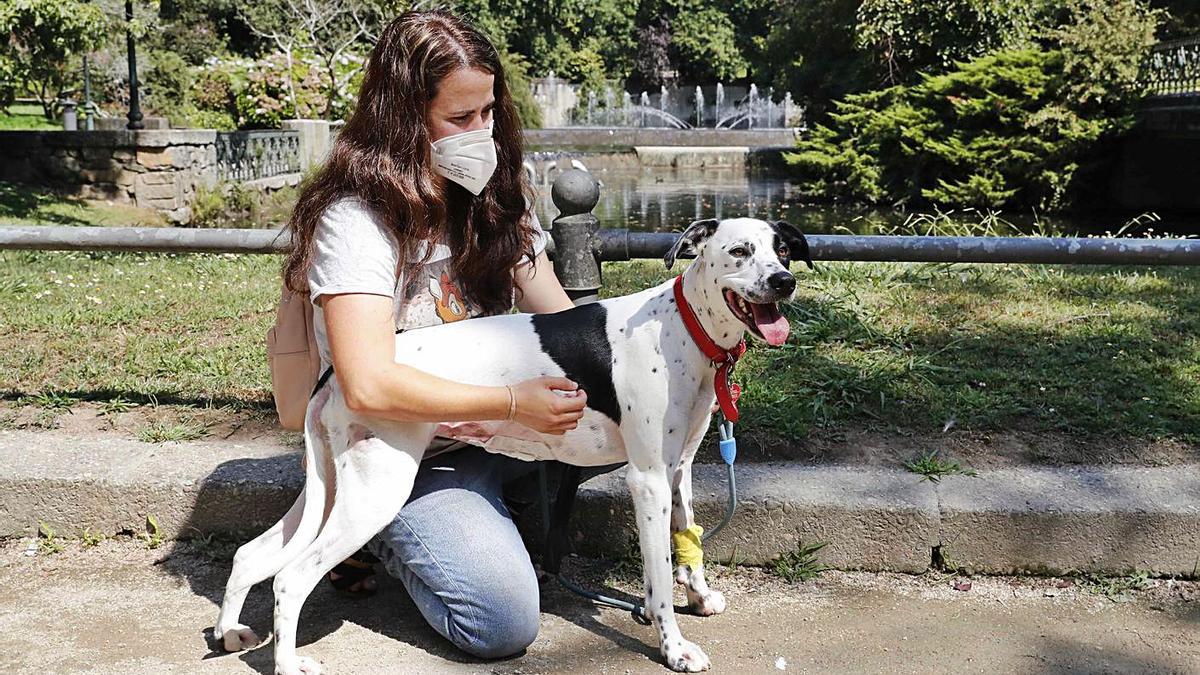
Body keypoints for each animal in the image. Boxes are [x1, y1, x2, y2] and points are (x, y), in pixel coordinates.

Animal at [217, 218, 816, 667]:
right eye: (739, 251)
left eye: (783, 249)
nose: (784, 281)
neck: (684, 327)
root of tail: (336, 374)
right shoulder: (646, 480)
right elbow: (659, 577)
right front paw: (673, 647)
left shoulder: (678, 470)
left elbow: (687, 543)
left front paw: (699, 595)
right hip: (375, 493)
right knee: (291, 578)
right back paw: (289, 661)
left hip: (332, 488)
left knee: (252, 554)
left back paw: (229, 633)